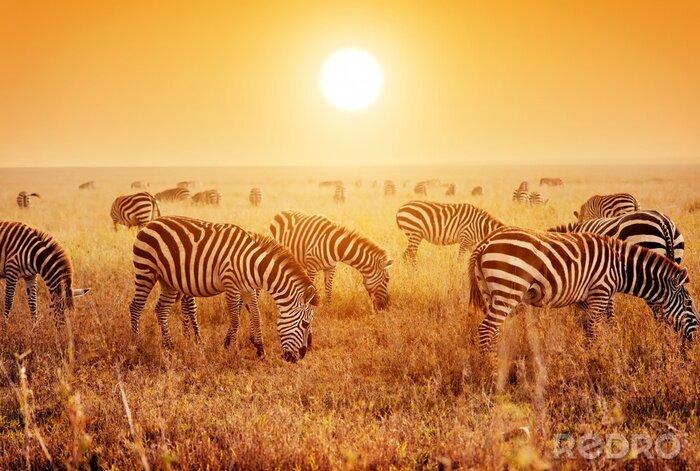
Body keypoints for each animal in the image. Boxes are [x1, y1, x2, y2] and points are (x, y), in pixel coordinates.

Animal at [129, 216, 317, 362]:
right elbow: (235, 319)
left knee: (161, 309)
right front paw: (232, 351)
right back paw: (135, 344)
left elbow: (256, 317)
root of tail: (151, 223)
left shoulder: (248, 289)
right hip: (146, 270)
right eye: (305, 324)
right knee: (136, 307)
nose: (299, 357)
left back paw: (169, 347)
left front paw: (260, 351)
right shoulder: (231, 285)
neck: (252, 264)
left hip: (168, 281)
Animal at [469, 227, 698, 354]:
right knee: (486, 328)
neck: (620, 267)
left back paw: (496, 360)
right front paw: (594, 360)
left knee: (494, 330)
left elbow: (598, 324)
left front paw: (606, 349)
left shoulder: (588, 297)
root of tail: (486, 241)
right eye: (689, 304)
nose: (695, 340)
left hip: (491, 291)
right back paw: (490, 367)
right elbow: (593, 328)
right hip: (508, 288)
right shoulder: (601, 290)